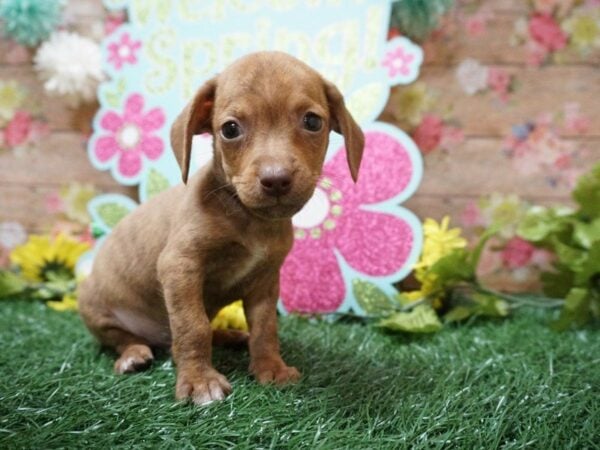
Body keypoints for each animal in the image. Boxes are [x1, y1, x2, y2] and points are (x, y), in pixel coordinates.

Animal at [77, 51, 364, 406]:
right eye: (230, 129)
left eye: (312, 122)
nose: (276, 179)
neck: (249, 219)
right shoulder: (180, 267)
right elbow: (192, 326)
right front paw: (200, 380)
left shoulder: (265, 281)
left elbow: (265, 329)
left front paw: (270, 367)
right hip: (94, 306)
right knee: (121, 338)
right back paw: (133, 354)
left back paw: (230, 335)